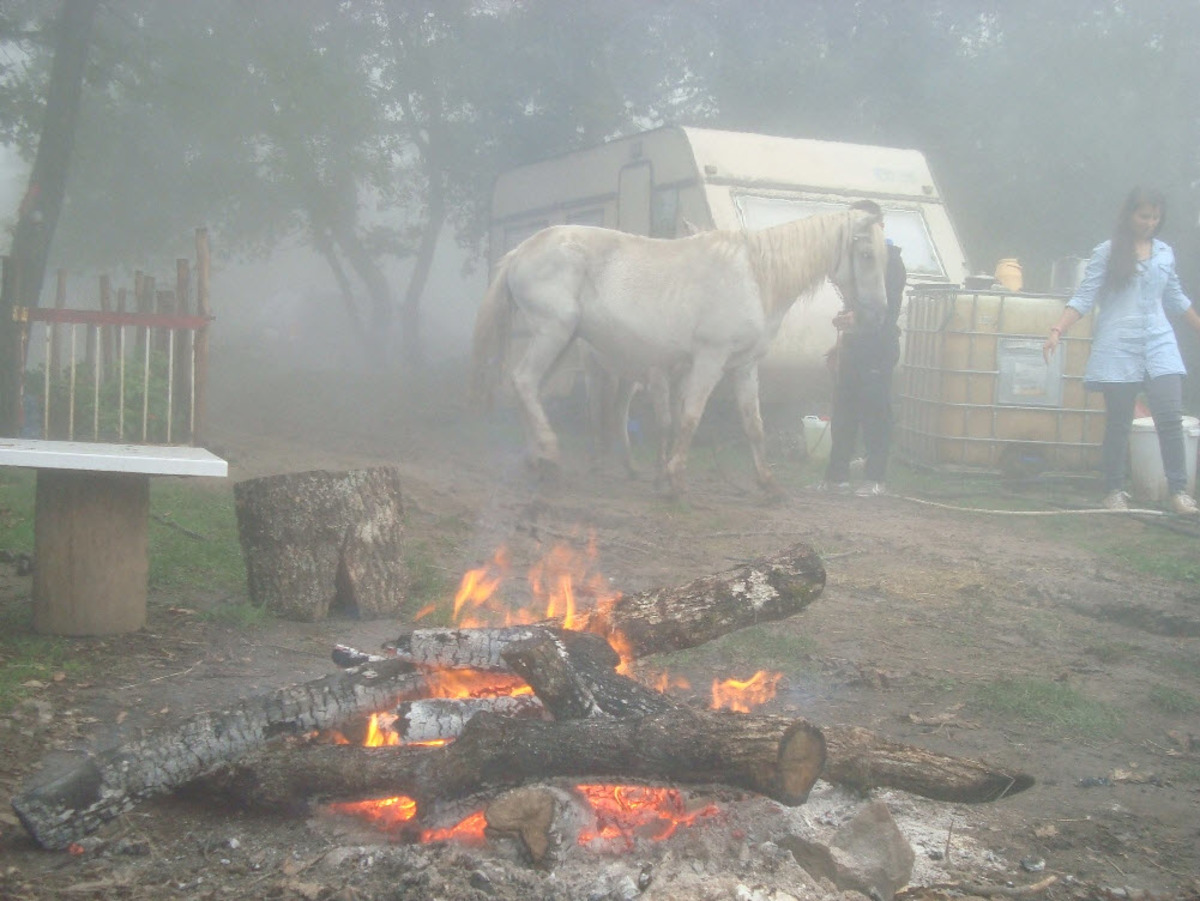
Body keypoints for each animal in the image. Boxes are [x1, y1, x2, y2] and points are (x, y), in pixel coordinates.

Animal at [472, 207, 888, 496]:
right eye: (867, 254)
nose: (879, 313)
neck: (754, 276)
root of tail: (519, 252)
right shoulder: (708, 361)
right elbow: (688, 418)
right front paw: (674, 479)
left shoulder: (744, 366)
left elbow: (753, 425)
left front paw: (769, 485)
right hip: (554, 333)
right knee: (525, 383)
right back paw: (550, 455)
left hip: (564, 343)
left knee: (531, 390)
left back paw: (538, 459)